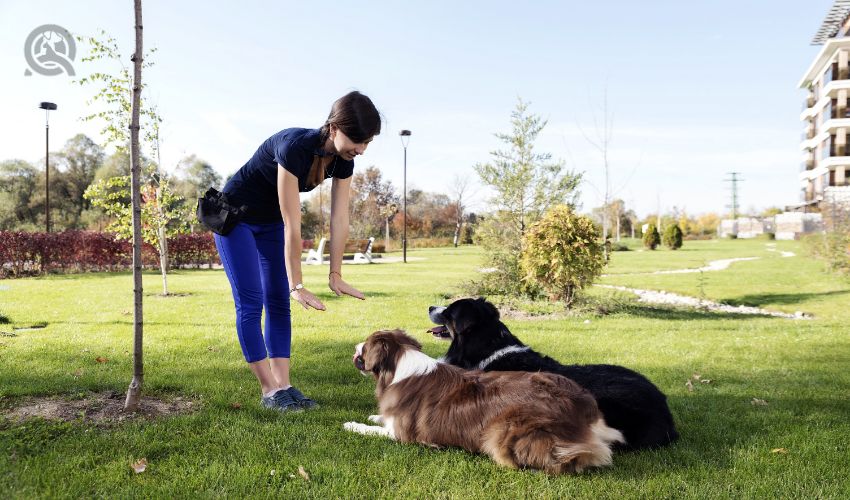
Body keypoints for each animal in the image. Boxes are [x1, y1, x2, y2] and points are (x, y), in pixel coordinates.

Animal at [344, 330, 624, 474]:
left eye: (365, 347)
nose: (355, 346)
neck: (399, 366)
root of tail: (584, 407)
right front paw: (374, 415)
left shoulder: (401, 435)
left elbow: (371, 429)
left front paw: (352, 425)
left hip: (505, 431)